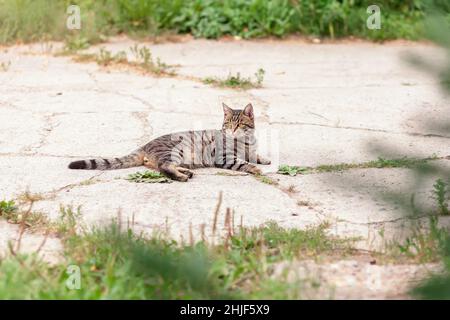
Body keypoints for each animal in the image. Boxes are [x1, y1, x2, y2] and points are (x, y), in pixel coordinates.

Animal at [67, 104, 270, 181]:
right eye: (227, 124)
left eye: (240, 124)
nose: (231, 130)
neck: (245, 141)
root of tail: (146, 144)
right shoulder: (225, 158)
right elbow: (244, 163)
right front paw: (256, 168)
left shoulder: (251, 150)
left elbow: (255, 155)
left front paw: (264, 159)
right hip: (173, 152)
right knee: (164, 167)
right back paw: (181, 176)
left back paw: (186, 172)